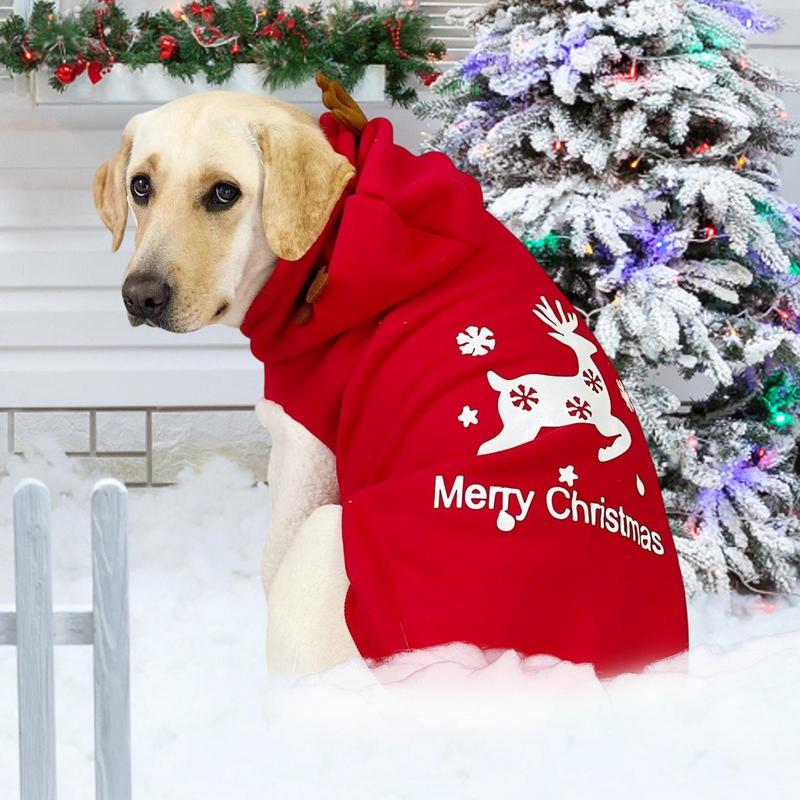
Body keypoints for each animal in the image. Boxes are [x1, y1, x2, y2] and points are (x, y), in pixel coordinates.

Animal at [478, 296, 632, 463]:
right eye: (578, 339)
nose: (593, 347)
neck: (589, 377)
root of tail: (504, 384)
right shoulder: (601, 419)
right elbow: (624, 433)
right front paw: (608, 452)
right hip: (519, 425)